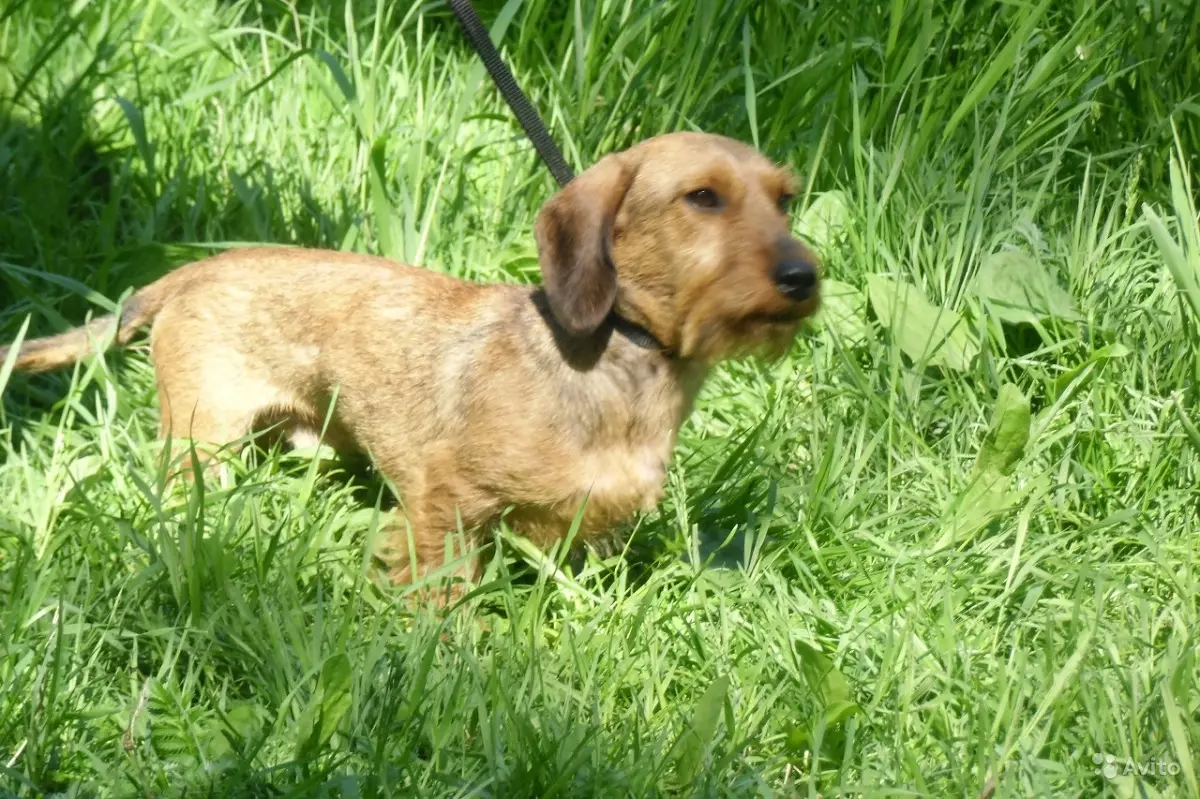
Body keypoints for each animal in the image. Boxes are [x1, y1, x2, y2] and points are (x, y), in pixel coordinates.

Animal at [0, 128, 820, 590]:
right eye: (703, 196)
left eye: (785, 199)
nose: (804, 277)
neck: (620, 361)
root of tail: (186, 274)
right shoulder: (443, 501)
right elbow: (443, 588)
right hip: (203, 443)